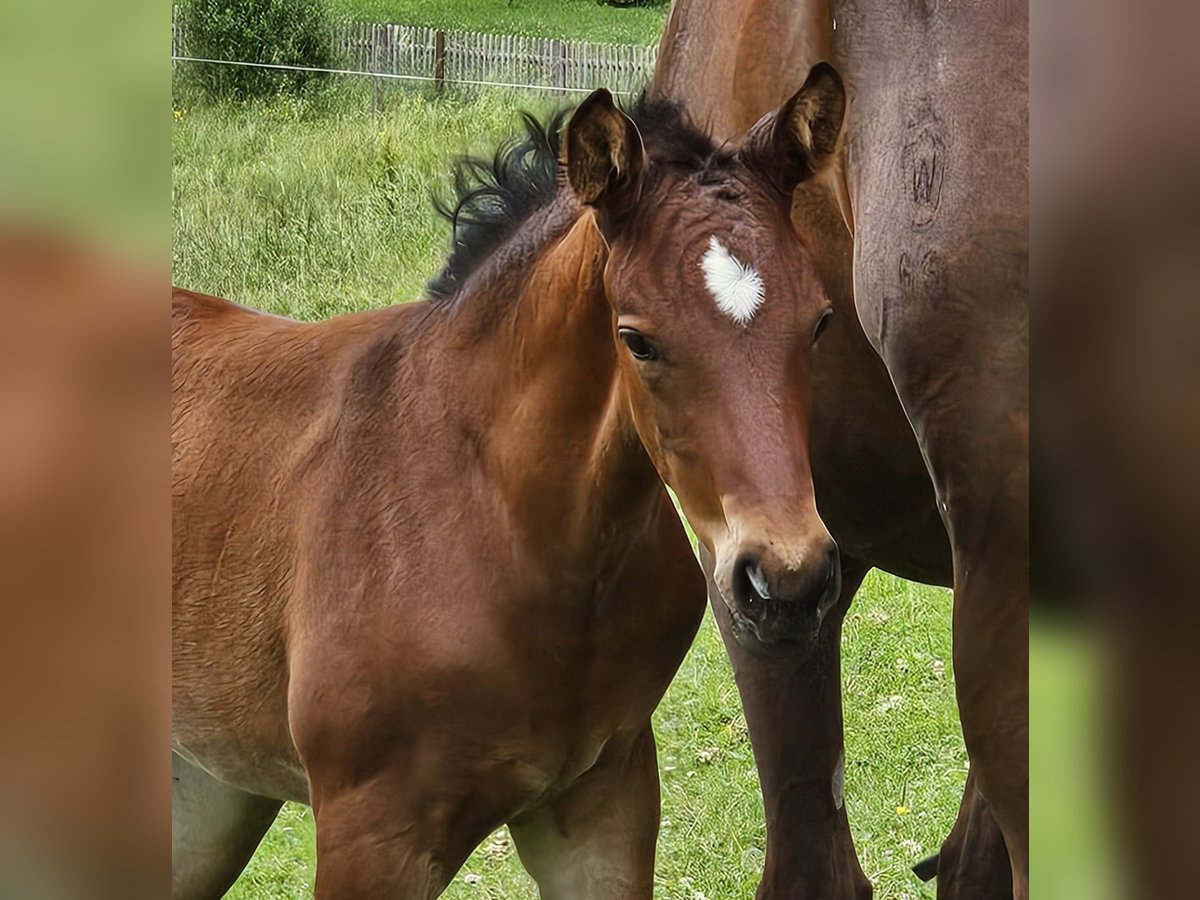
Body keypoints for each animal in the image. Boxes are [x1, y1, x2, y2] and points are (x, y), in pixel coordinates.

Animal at [175, 72, 854, 900]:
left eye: (819, 321)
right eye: (638, 340)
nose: (786, 582)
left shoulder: (602, 805)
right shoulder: (370, 836)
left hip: (206, 788)